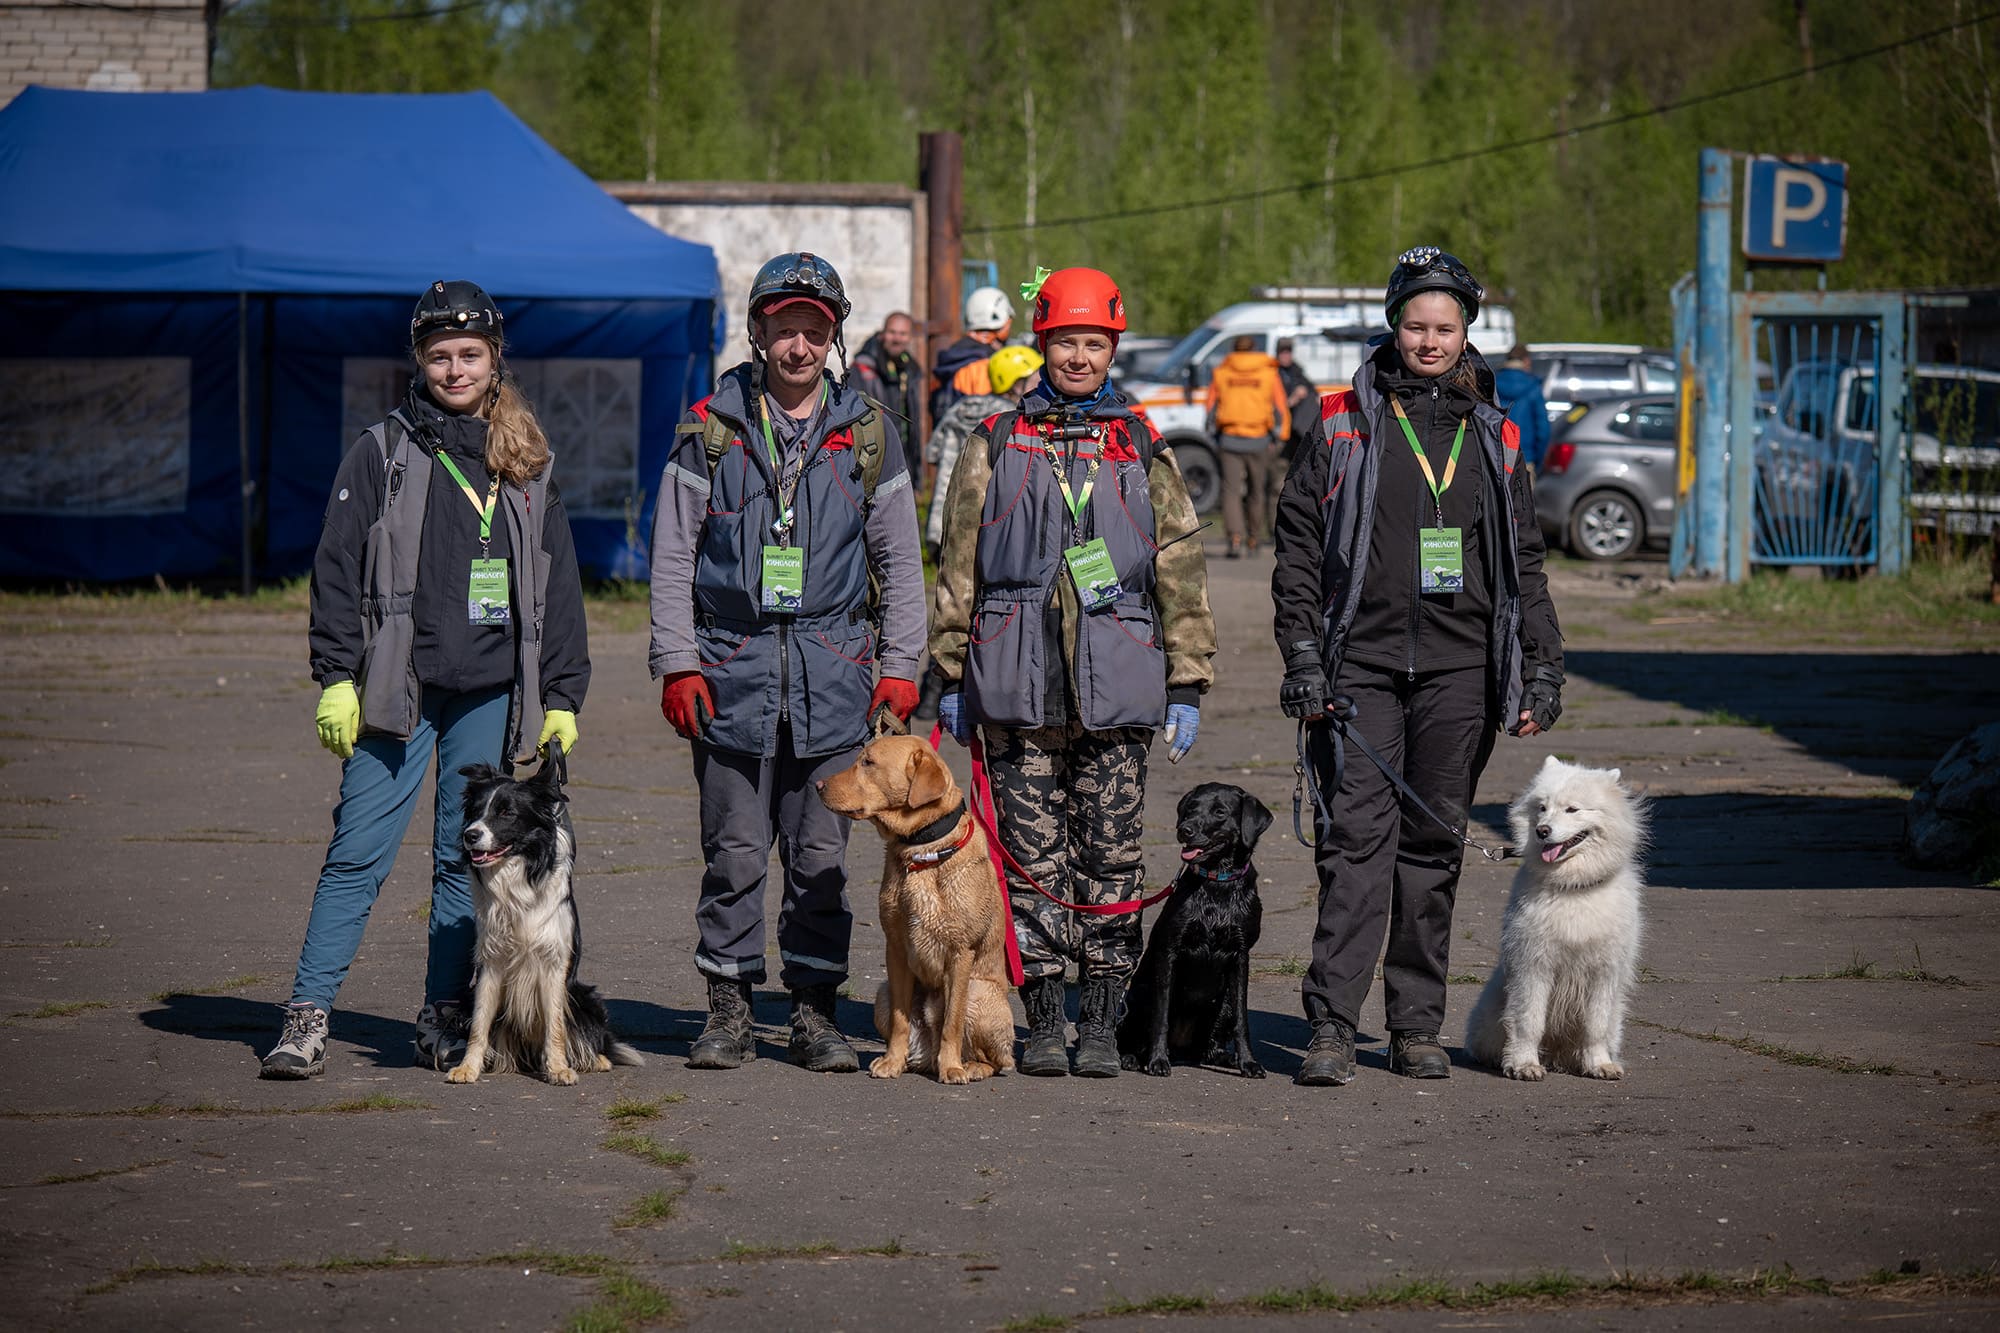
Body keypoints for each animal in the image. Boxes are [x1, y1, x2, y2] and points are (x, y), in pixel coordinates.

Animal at [1464, 752, 1648, 1072]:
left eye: (1572, 809)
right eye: (1542, 808)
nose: (1542, 831)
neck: (1574, 887)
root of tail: (1558, 1056)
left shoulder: (1605, 970)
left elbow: (1595, 1026)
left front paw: (1599, 1064)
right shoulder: (1534, 963)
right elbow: (1528, 1020)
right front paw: (1524, 1064)